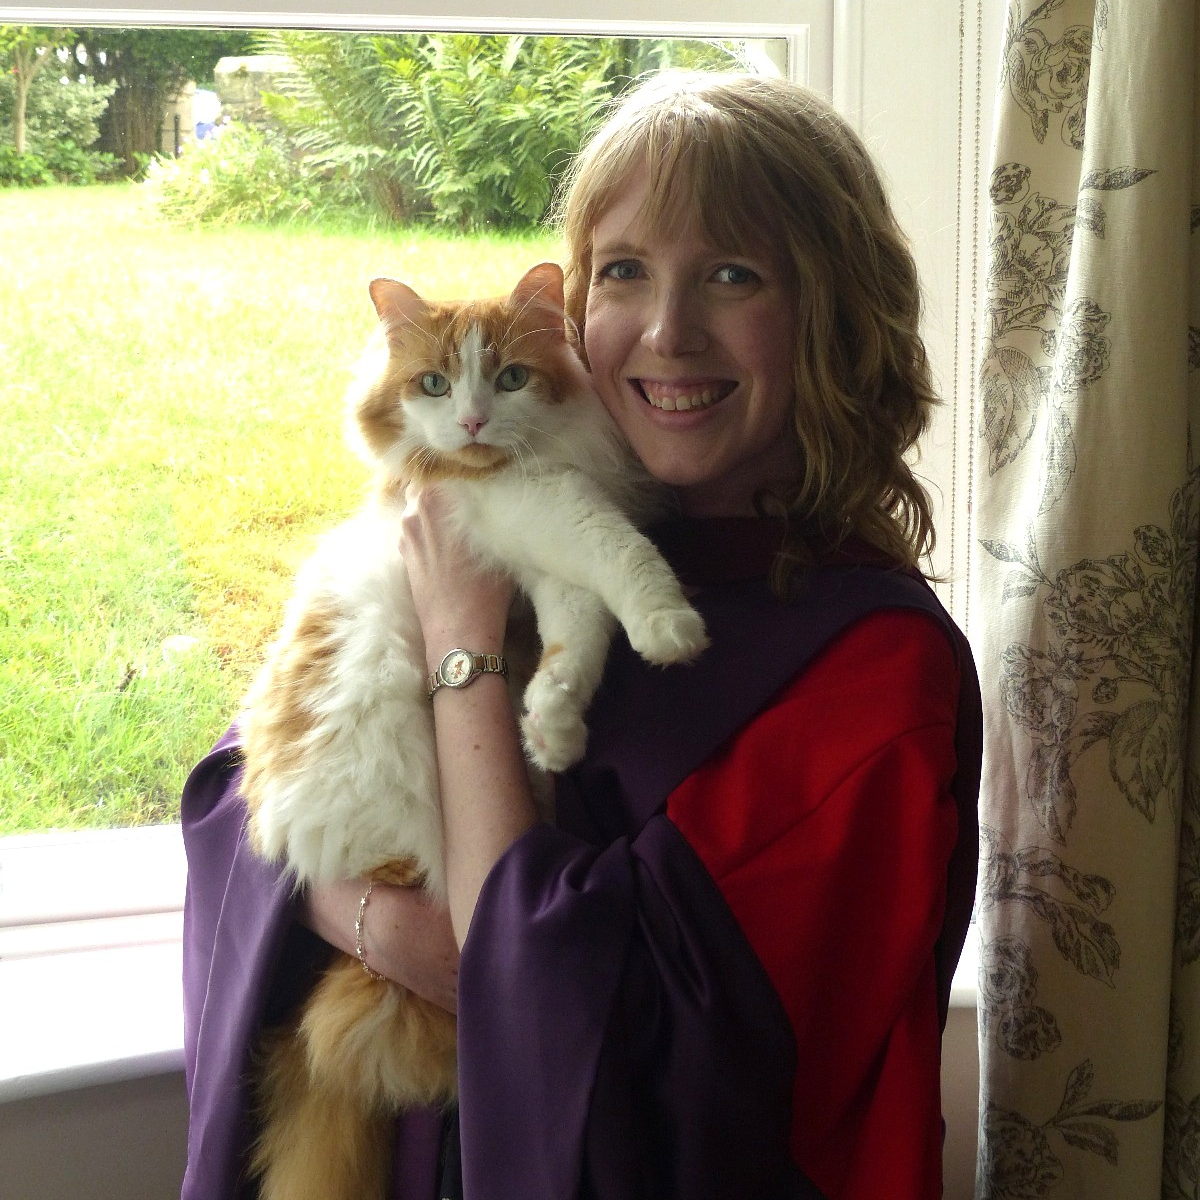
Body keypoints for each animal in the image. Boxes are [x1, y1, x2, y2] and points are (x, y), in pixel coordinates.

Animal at [239, 261, 708, 1200]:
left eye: (512, 377)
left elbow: (579, 635)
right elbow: (624, 558)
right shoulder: (542, 510)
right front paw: (671, 628)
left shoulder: (539, 558)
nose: (471, 420)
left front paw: (553, 725)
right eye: (433, 384)